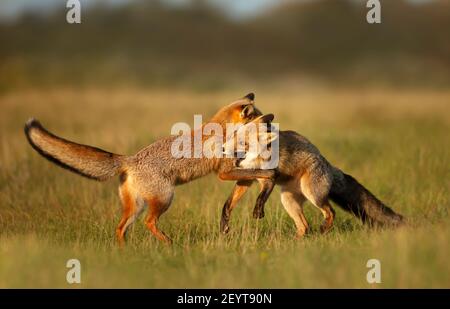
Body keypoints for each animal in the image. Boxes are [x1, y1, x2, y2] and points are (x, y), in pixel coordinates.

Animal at [27, 92, 278, 244]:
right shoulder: (224, 172)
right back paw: (168, 243)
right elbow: (254, 173)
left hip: (135, 206)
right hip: (165, 198)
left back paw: (124, 254)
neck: (223, 129)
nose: (272, 118)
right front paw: (268, 175)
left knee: (120, 228)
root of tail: (130, 159)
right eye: (259, 118)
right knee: (148, 222)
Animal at [221, 113, 404, 236]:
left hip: (312, 194)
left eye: (242, 143)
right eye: (233, 135)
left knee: (330, 212)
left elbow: (261, 196)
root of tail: (329, 166)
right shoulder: (247, 179)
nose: (222, 148)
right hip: (288, 200)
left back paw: (323, 229)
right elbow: (228, 204)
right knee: (304, 226)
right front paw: (224, 224)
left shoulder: (269, 178)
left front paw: (258, 211)